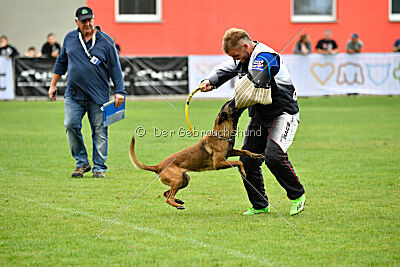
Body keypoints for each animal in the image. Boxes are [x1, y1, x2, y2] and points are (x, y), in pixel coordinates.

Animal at [130, 99, 264, 210]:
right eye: (230, 103)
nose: (234, 98)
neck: (221, 134)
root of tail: (158, 166)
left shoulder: (229, 153)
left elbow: (244, 151)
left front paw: (256, 155)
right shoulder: (219, 163)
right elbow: (239, 161)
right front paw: (243, 171)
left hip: (184, 180)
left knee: (166, 193)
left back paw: (178, 201)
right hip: (177, 179)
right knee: (168, 198)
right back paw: (177, 205)